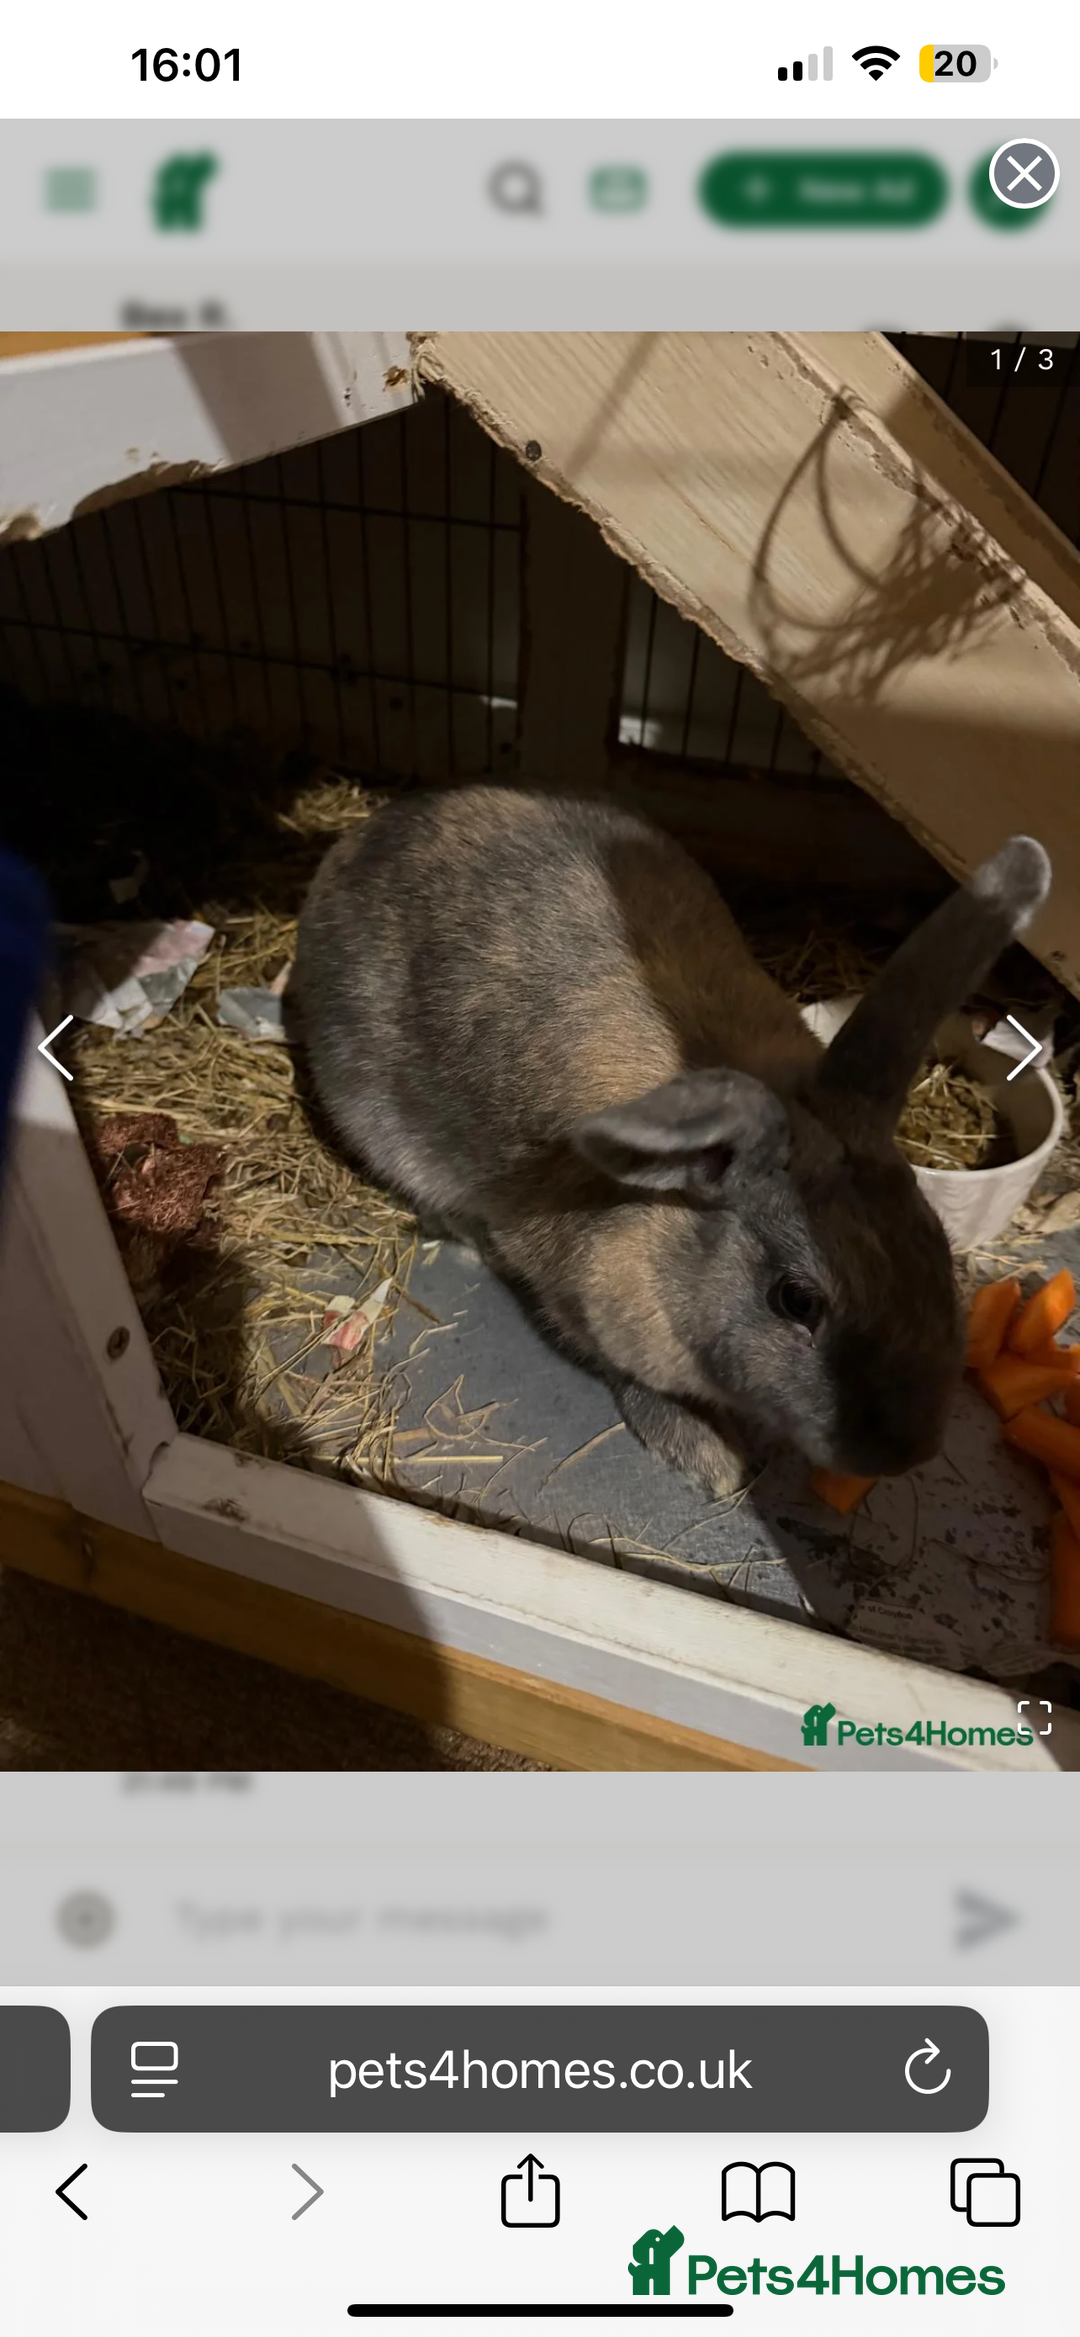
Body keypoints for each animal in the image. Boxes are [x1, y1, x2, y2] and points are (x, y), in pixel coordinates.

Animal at [289, 784, 1051, 1498]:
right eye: (797, 1301)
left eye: (937, 1247)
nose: (903, 1452)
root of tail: (360, 837)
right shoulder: (577, 1298)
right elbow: (627, 1375)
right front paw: (708, 1457)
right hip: (371, 1113)